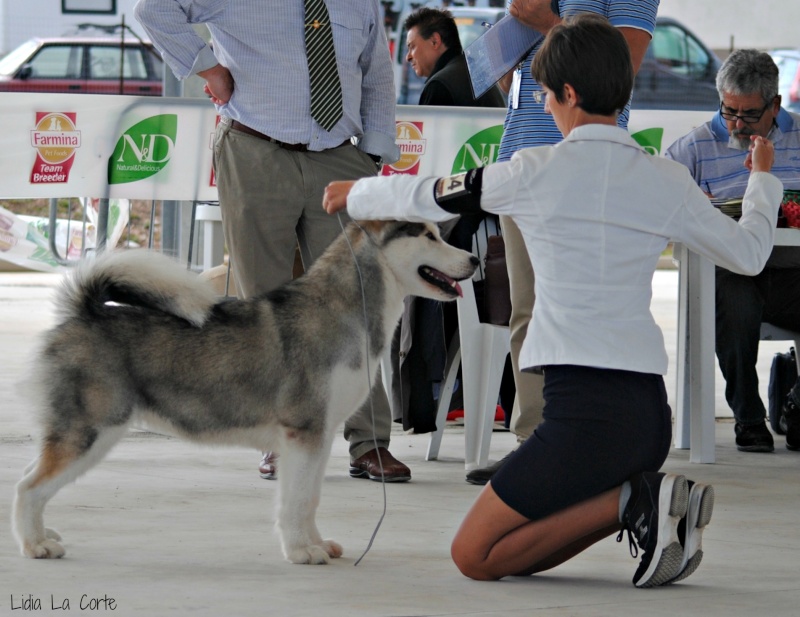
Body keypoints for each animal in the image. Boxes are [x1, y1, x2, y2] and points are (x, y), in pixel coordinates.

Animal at [14, 220, 476, 564]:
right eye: (428, 235)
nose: (473, 259)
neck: (347, 312)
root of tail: (83, 313)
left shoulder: (319, 436)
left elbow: (309, 498)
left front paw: (315, 543)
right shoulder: (304, 433)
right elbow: (296, 500)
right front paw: (301, 551)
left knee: (30, 481)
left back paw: (37, 534)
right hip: (89, 432)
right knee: (28, 486)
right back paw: (35, 545)